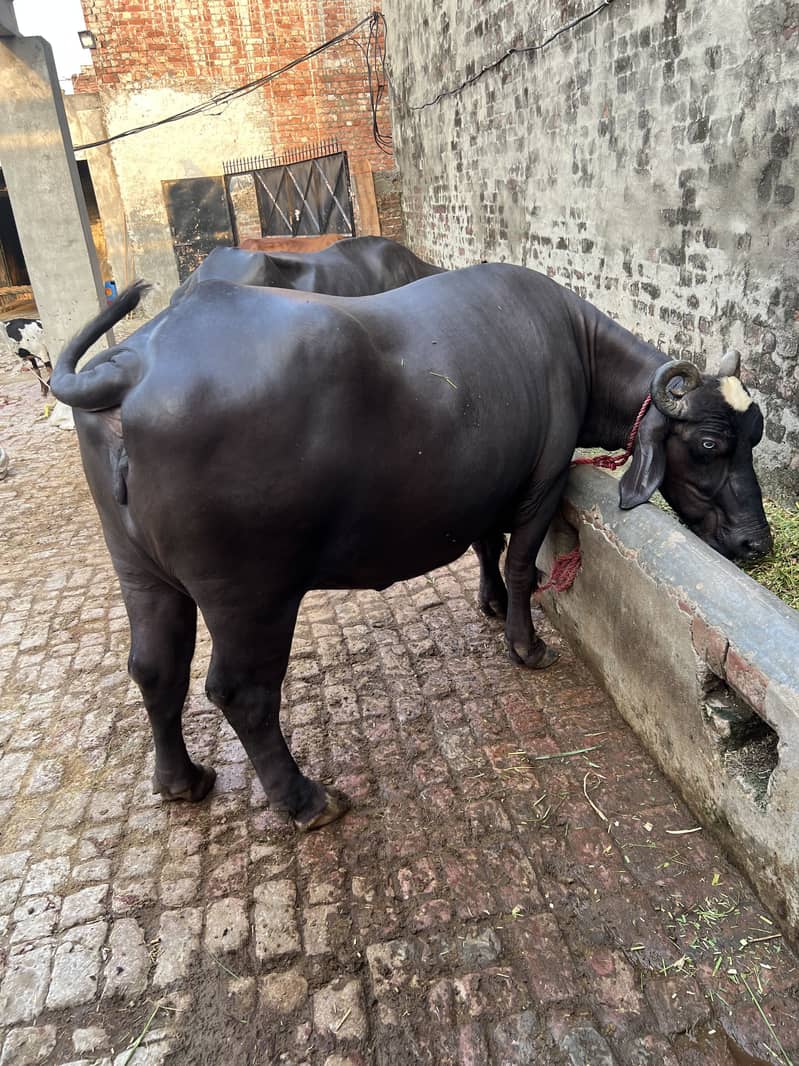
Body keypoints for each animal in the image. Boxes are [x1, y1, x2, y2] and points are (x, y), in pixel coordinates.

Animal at [51, 264, 772, 829]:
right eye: (709, 444)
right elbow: (519, 563)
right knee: (240, 692)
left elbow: (484, 545)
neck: (574, 348)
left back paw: (183, 780)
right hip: (250, 594)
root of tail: (136, 365)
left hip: (140, 571)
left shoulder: (485, 483)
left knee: (154, 668)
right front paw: (526, 644)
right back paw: (306, 800)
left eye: (755, 436)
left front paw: (487, 603)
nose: (755, 541)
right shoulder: (541, 484)